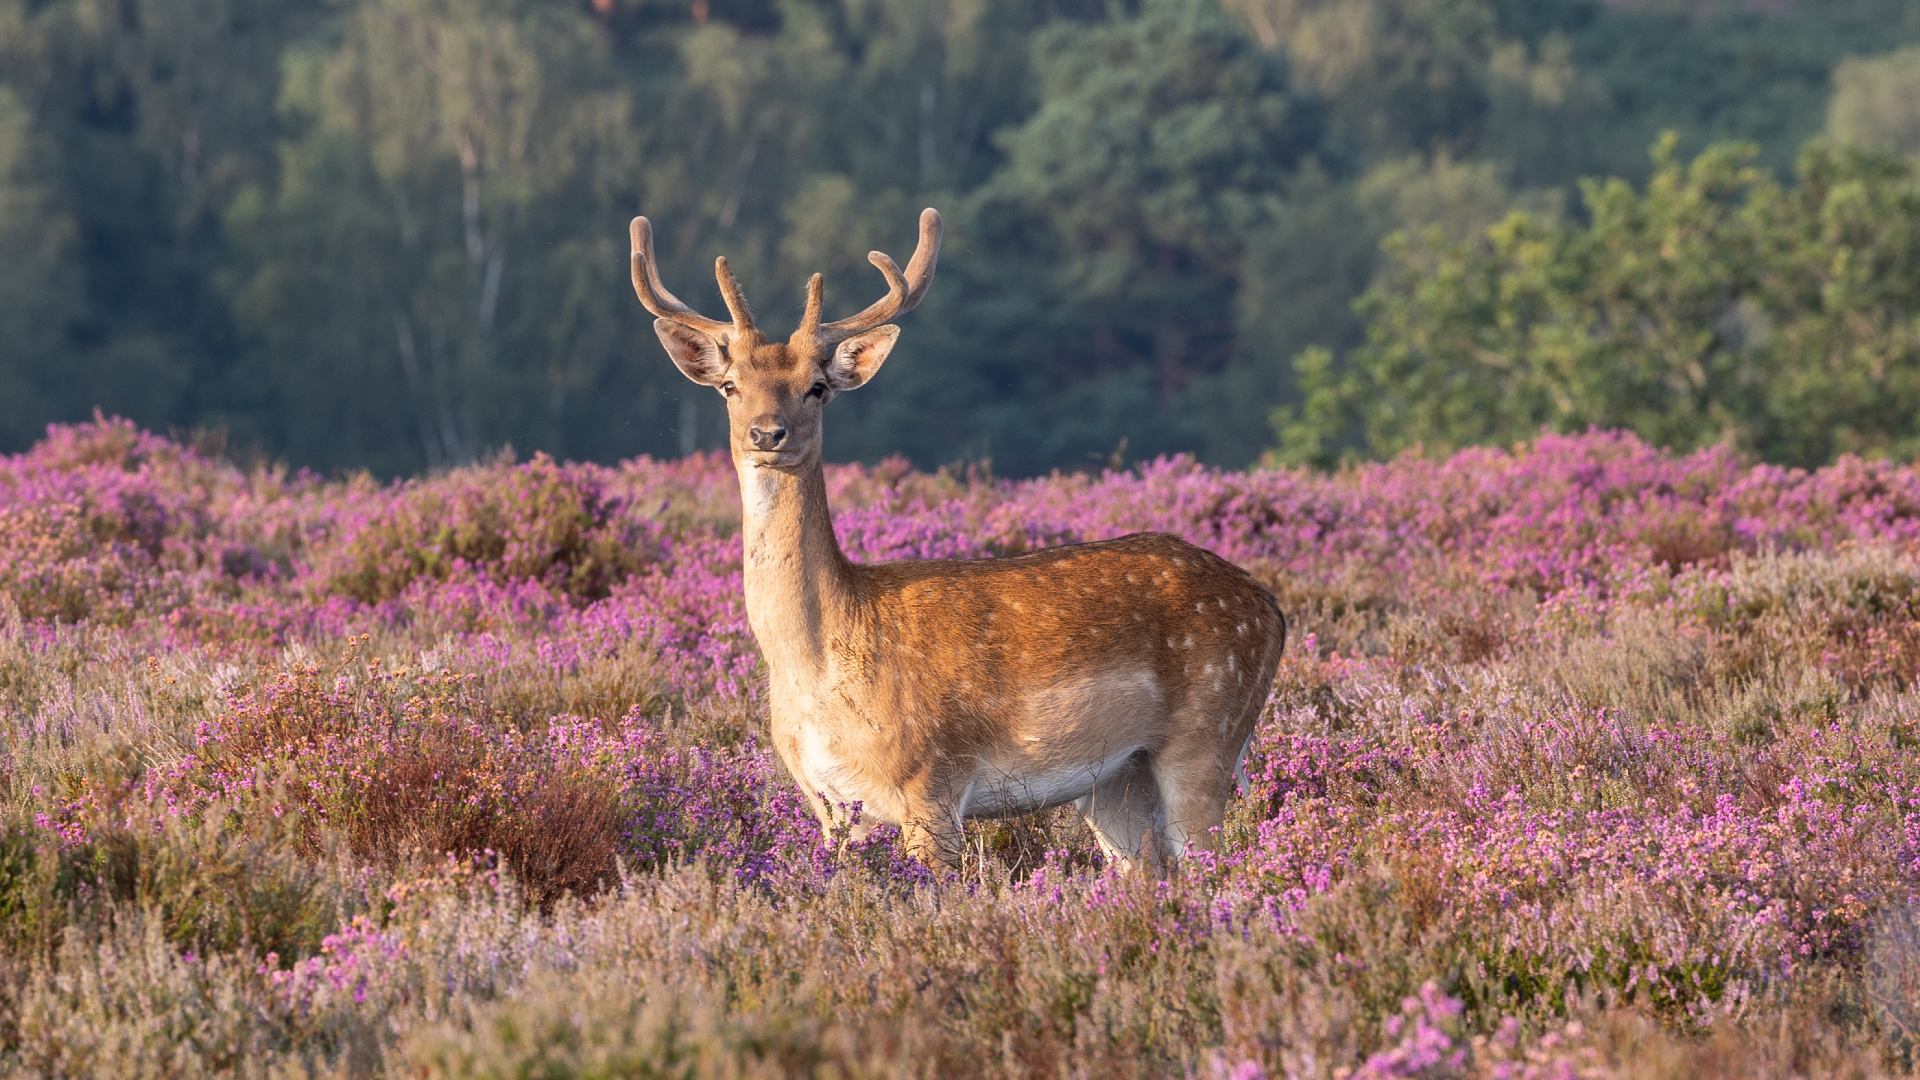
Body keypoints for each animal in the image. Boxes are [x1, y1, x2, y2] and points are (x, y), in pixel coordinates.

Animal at [633, 208, 1290, 864]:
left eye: (816, 386)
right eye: (730, 386)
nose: (767, 433)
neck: (817, 665)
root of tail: (1272, 608)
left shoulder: (932, 781)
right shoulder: (831, 808)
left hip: (1208, 735)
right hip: (1118, 778)